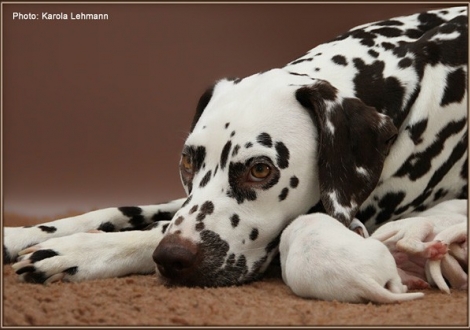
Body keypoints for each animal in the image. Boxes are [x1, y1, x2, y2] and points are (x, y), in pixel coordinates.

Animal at [2, 5, 466, 290]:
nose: (171, 258)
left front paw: (77, 251)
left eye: (260, 169)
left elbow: (146, 231)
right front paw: (22, 233)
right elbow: (118, 210)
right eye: (188, 161)